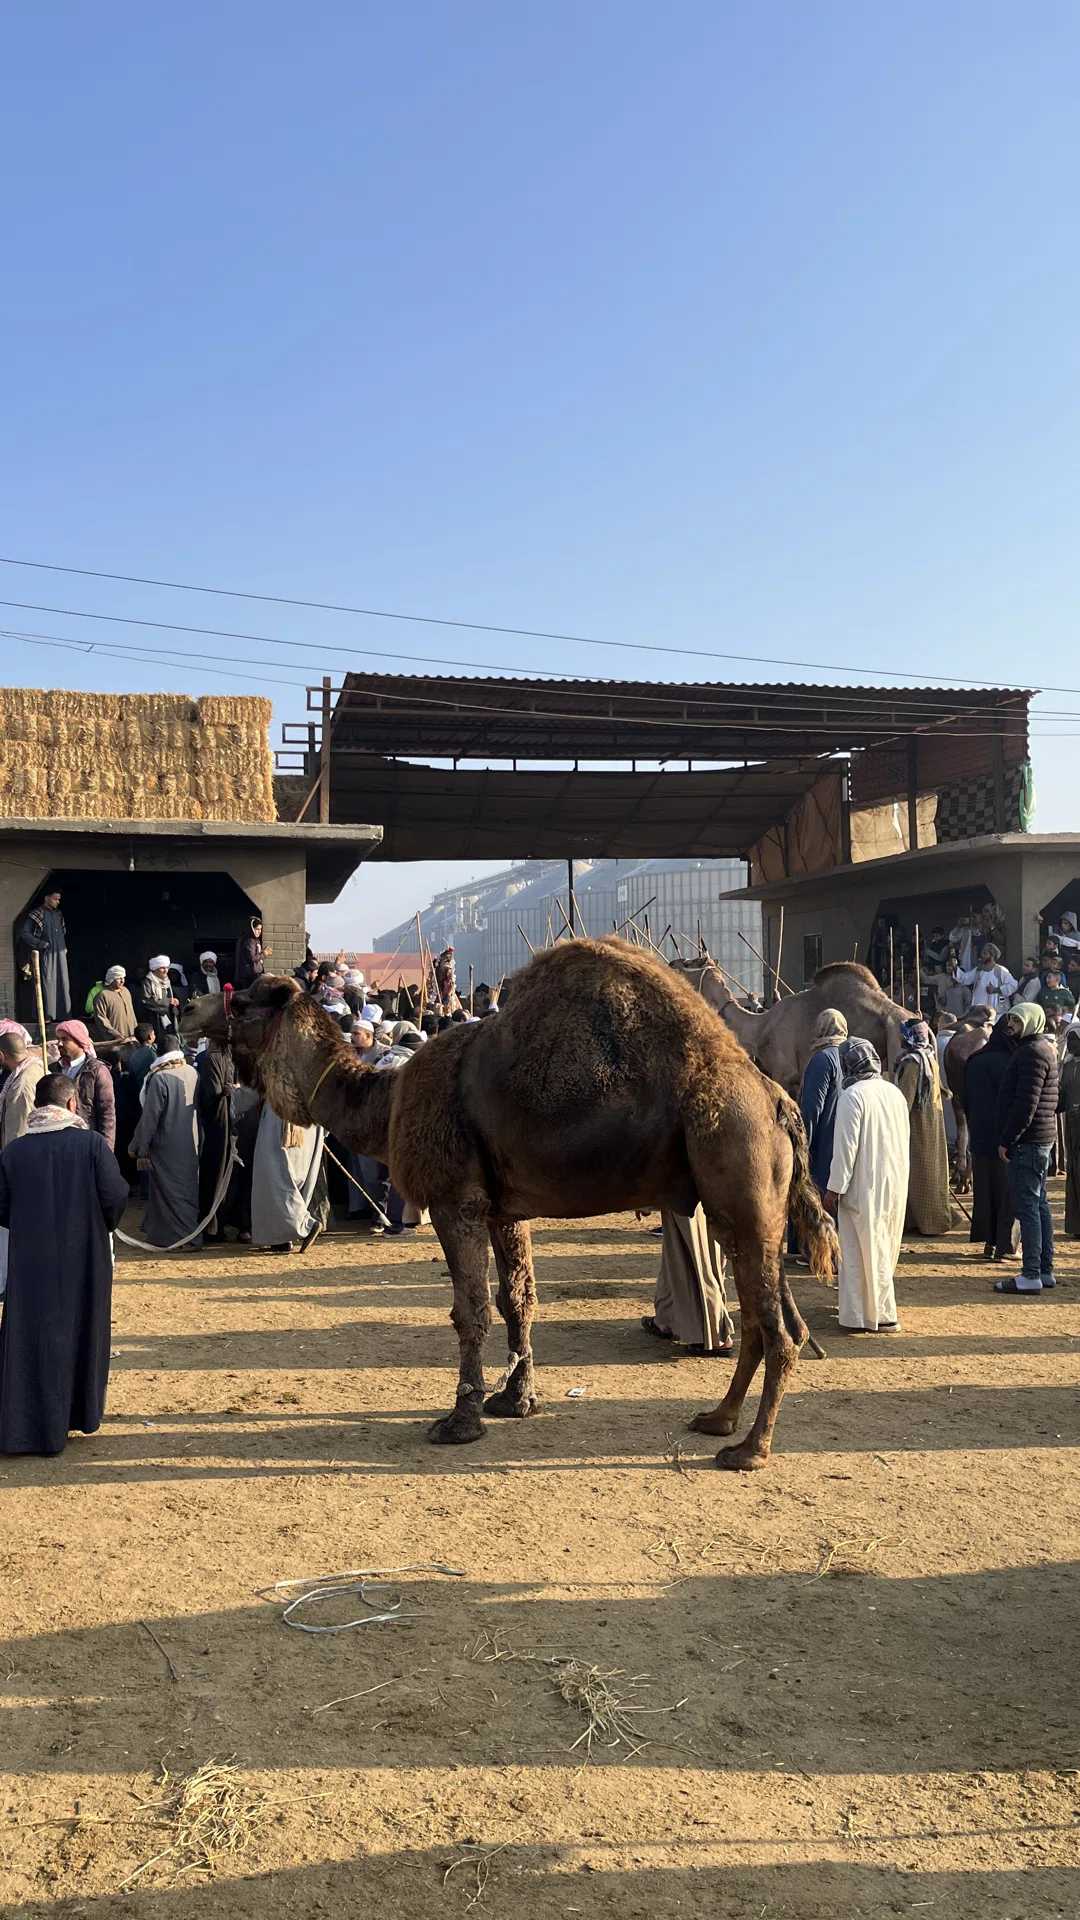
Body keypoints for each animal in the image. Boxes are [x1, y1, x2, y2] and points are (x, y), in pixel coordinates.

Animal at [181, 938, 837, 1471]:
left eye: (244, 1002)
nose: (188, 1010)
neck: (386, 1101)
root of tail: (780, 1101)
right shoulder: (501, 1207)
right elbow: (517, 1298)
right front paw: (514, 1399)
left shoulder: (456, 1201)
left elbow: (469, 1310)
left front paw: (460, 1420)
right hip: (747, 1208)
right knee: (773, 1319)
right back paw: (718, 1420)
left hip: (736, 1166)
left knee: (777, 1328)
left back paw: (750, 1450)